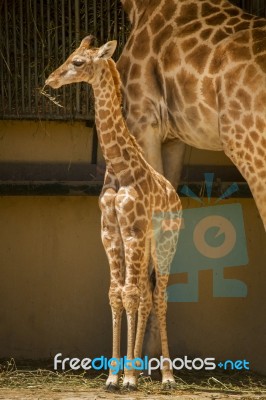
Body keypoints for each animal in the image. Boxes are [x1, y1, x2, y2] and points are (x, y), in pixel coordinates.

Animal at [46, 36, 183, 390]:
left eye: (78, 62)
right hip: (145, 246)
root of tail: (176, 197)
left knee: (159, 296)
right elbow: (116, 294)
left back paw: (166, 376)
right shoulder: (110, 230)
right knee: (147, 294)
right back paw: (142, 371)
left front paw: (129, 379)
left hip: (165, 242)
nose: (50, 80)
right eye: (70, 55)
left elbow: (130, 294)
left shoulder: (132, 230)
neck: (119, 167)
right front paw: (113, 376)